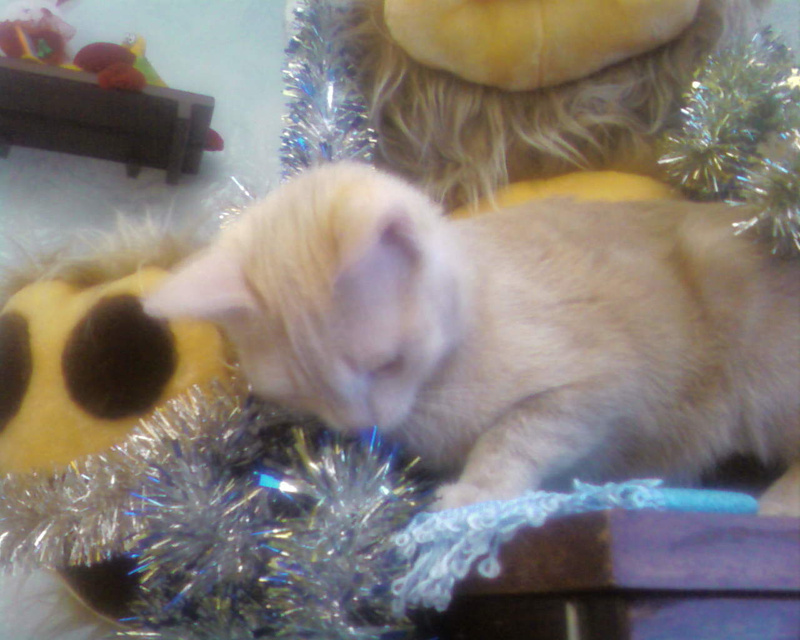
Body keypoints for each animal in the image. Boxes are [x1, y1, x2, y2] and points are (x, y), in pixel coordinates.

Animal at [144, 162, 800, 515]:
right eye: (302, 393)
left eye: (386, 364)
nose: (360, 425)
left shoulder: (599, 385)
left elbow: (514, 436)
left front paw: (475, 492)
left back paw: (776, 504)